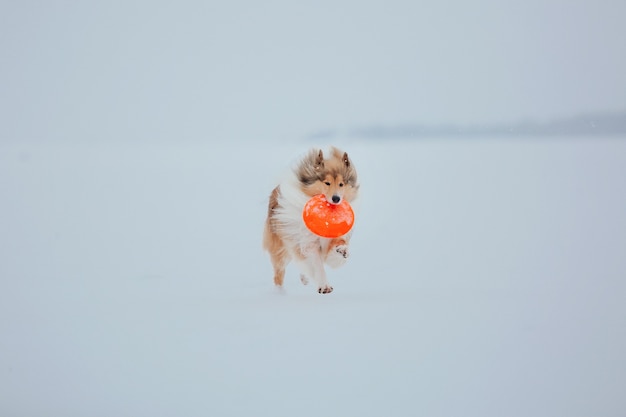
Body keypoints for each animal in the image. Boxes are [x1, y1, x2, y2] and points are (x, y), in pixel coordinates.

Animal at [262, 146, 358, 292]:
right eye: (327, 183)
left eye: (341, 184)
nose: (336, 199)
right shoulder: (308, 243)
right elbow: (317, 264)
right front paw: (324, 286)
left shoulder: (333, 238)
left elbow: (338, 247)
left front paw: (342, 250)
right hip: (282, 246)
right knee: (279, 273)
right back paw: (280, 293)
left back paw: (304, 279)